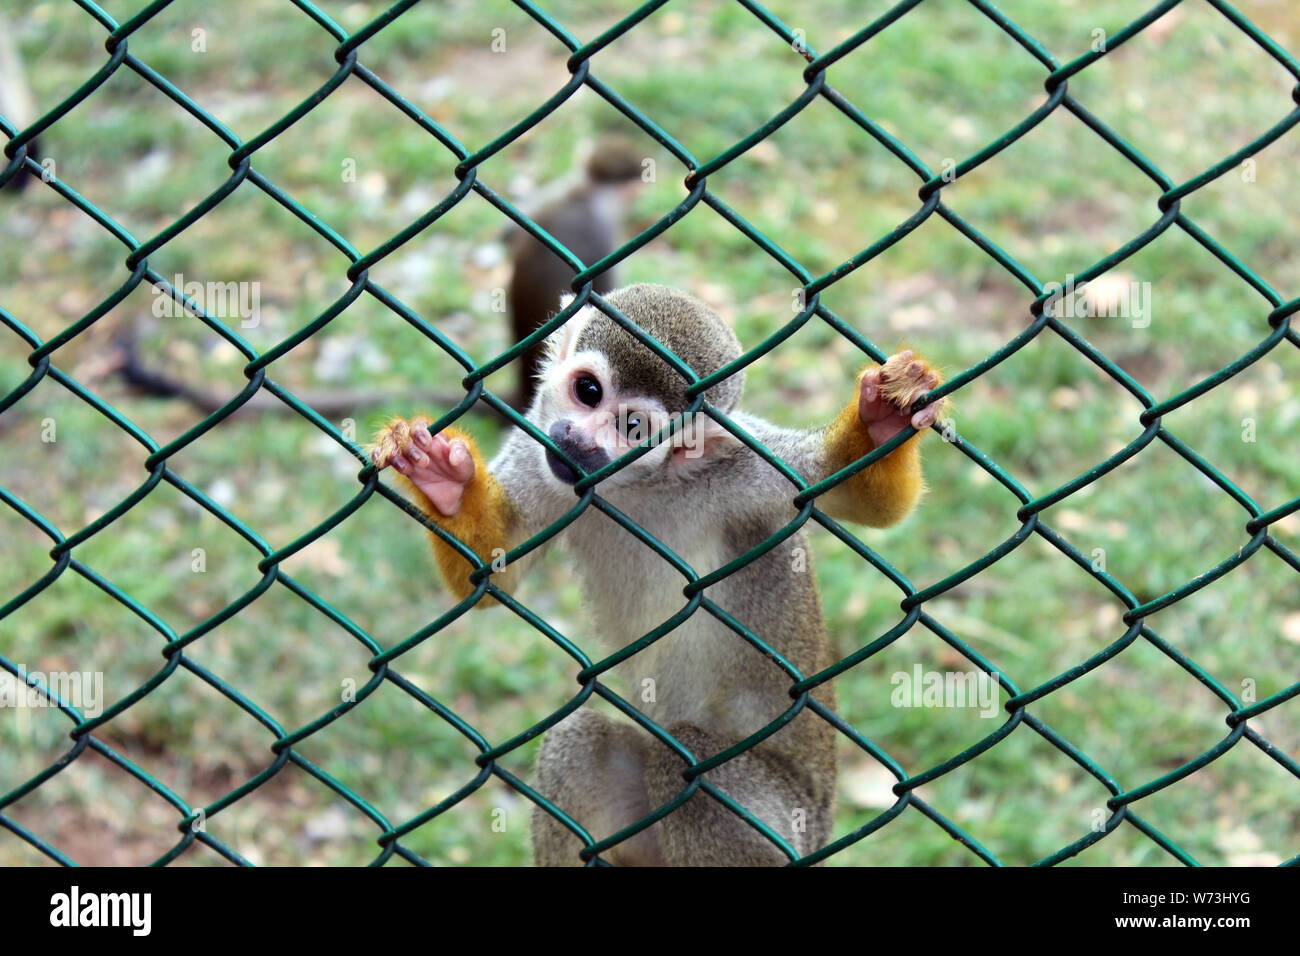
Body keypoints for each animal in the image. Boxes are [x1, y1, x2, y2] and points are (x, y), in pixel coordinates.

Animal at [369, 283, 946, 868]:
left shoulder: (738, 468)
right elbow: (492, 572)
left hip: (788, 824)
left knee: (686, 765)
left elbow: (855, 496)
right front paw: (444, 480)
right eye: (588, 391)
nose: (578, 440)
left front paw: (883, 420)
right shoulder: (537, 450)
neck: (634, 487)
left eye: (632, 428)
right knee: (581, 741)